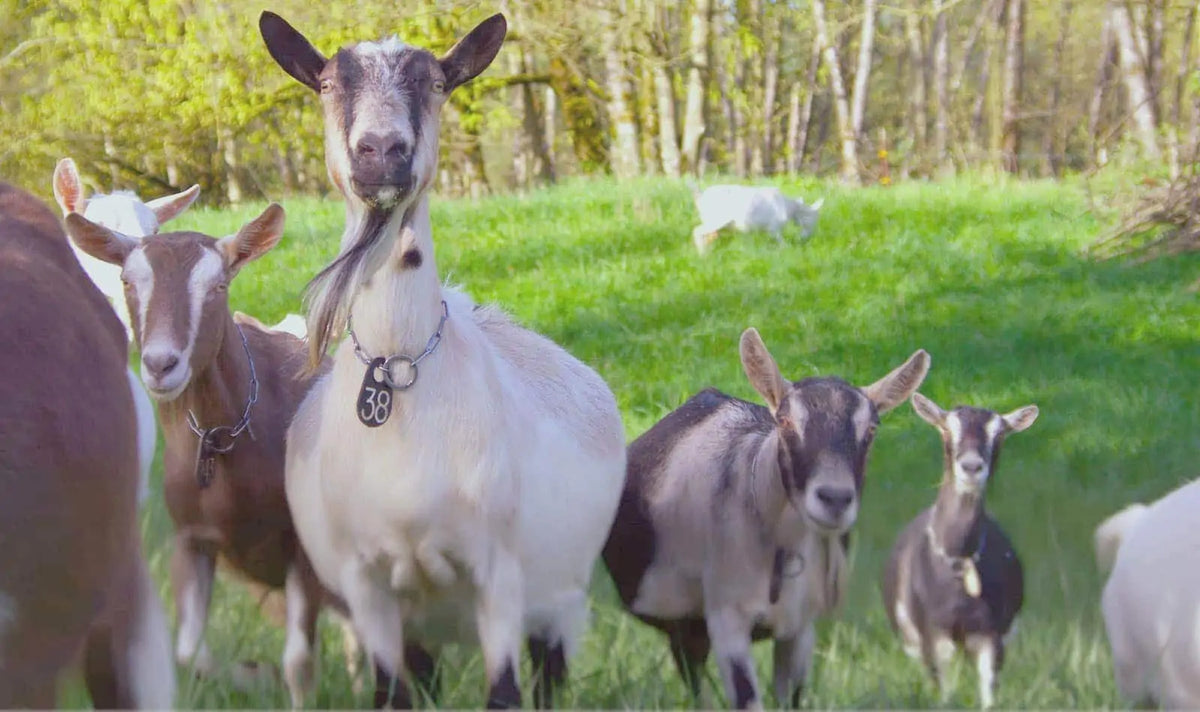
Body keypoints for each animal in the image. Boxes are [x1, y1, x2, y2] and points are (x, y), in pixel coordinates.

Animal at [65, 204, 361, 707]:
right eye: (127, 280)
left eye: (218, 285)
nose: (161, 364)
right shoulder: (192, 538)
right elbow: (189, 654)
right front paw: (243, 675)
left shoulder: (301, 547)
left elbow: (299, 664)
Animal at [259, 11, 627, 708]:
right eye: (327, 84)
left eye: (435, 82)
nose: (381, 150)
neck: (400, 376)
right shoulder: (368, 589)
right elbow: (390, 694)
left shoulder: (500, 578)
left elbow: (504, 694)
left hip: (563, 602)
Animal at [691, 184, 823, 254]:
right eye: (813, 219)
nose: (806, 237)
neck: (788, 207)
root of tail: (700, 198)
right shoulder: (774, 228)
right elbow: (782, 243)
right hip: (716, 220)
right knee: (697, 231)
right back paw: (703, 255)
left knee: (707, 235)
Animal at [882, 393, 1038, 709]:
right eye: (946, 430)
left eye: (999, 434)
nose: (971, 467)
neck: (960, 561)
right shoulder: (934, 638)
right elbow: (945, 696)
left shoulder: (991, 637)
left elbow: (989, 695)